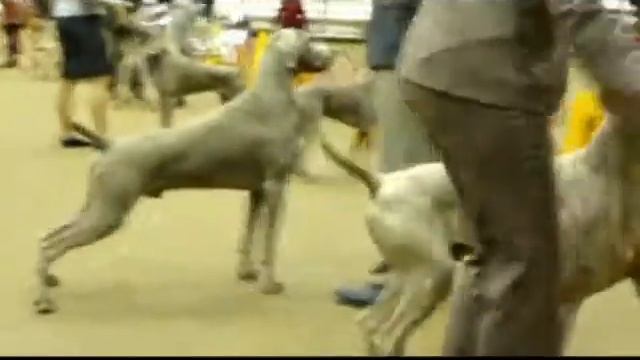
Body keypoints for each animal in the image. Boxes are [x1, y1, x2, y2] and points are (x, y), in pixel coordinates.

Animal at [33, 28, 336, 316]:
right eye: (309, 40)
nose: (331, 53)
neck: (272, 97)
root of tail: (111, 144)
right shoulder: (275, 187)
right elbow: (270, 241)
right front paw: (269, 284)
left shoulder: (257, 191)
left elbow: (250, 234)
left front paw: (246, 272)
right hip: (108, 213)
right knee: (51, 245)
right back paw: (44, 301)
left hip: (98, 205)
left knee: (48, 238)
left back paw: (48, 281)